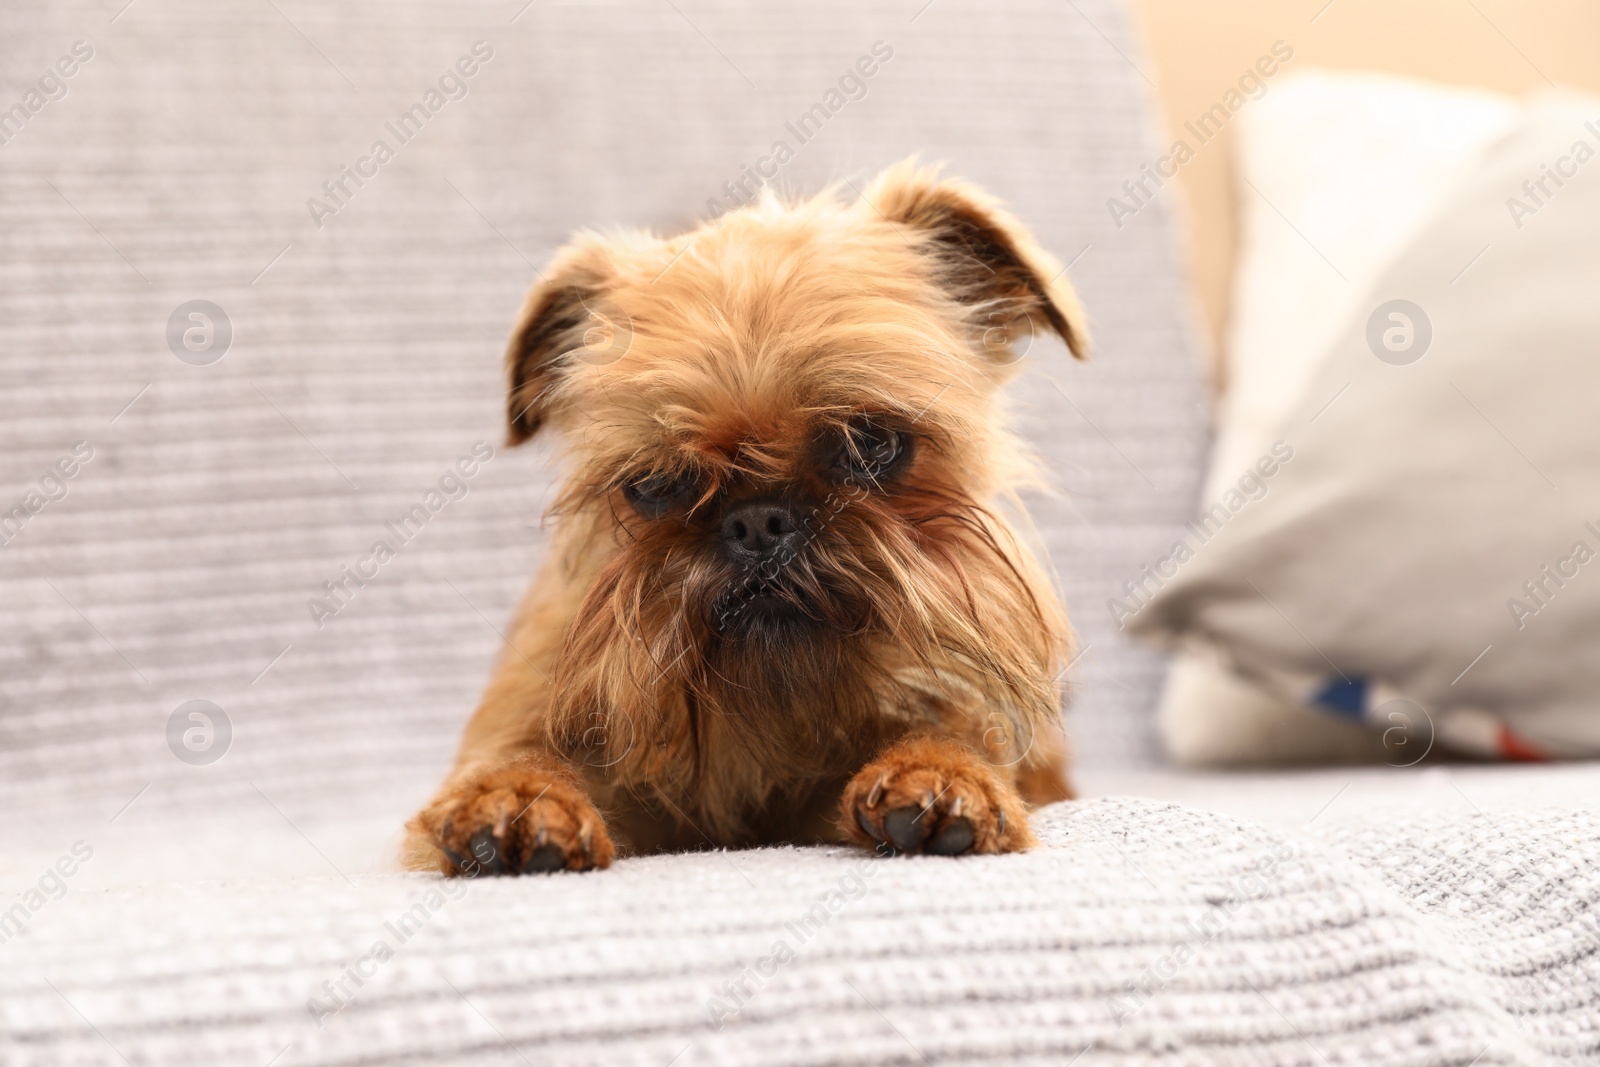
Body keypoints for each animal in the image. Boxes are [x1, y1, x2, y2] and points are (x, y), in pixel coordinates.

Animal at [406, 160, 1094, 876]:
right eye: (655, 485)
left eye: (871, 445)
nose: (758, 522)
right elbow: (518, 752)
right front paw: (515, 795)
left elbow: (952, 727)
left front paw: (939, 771)